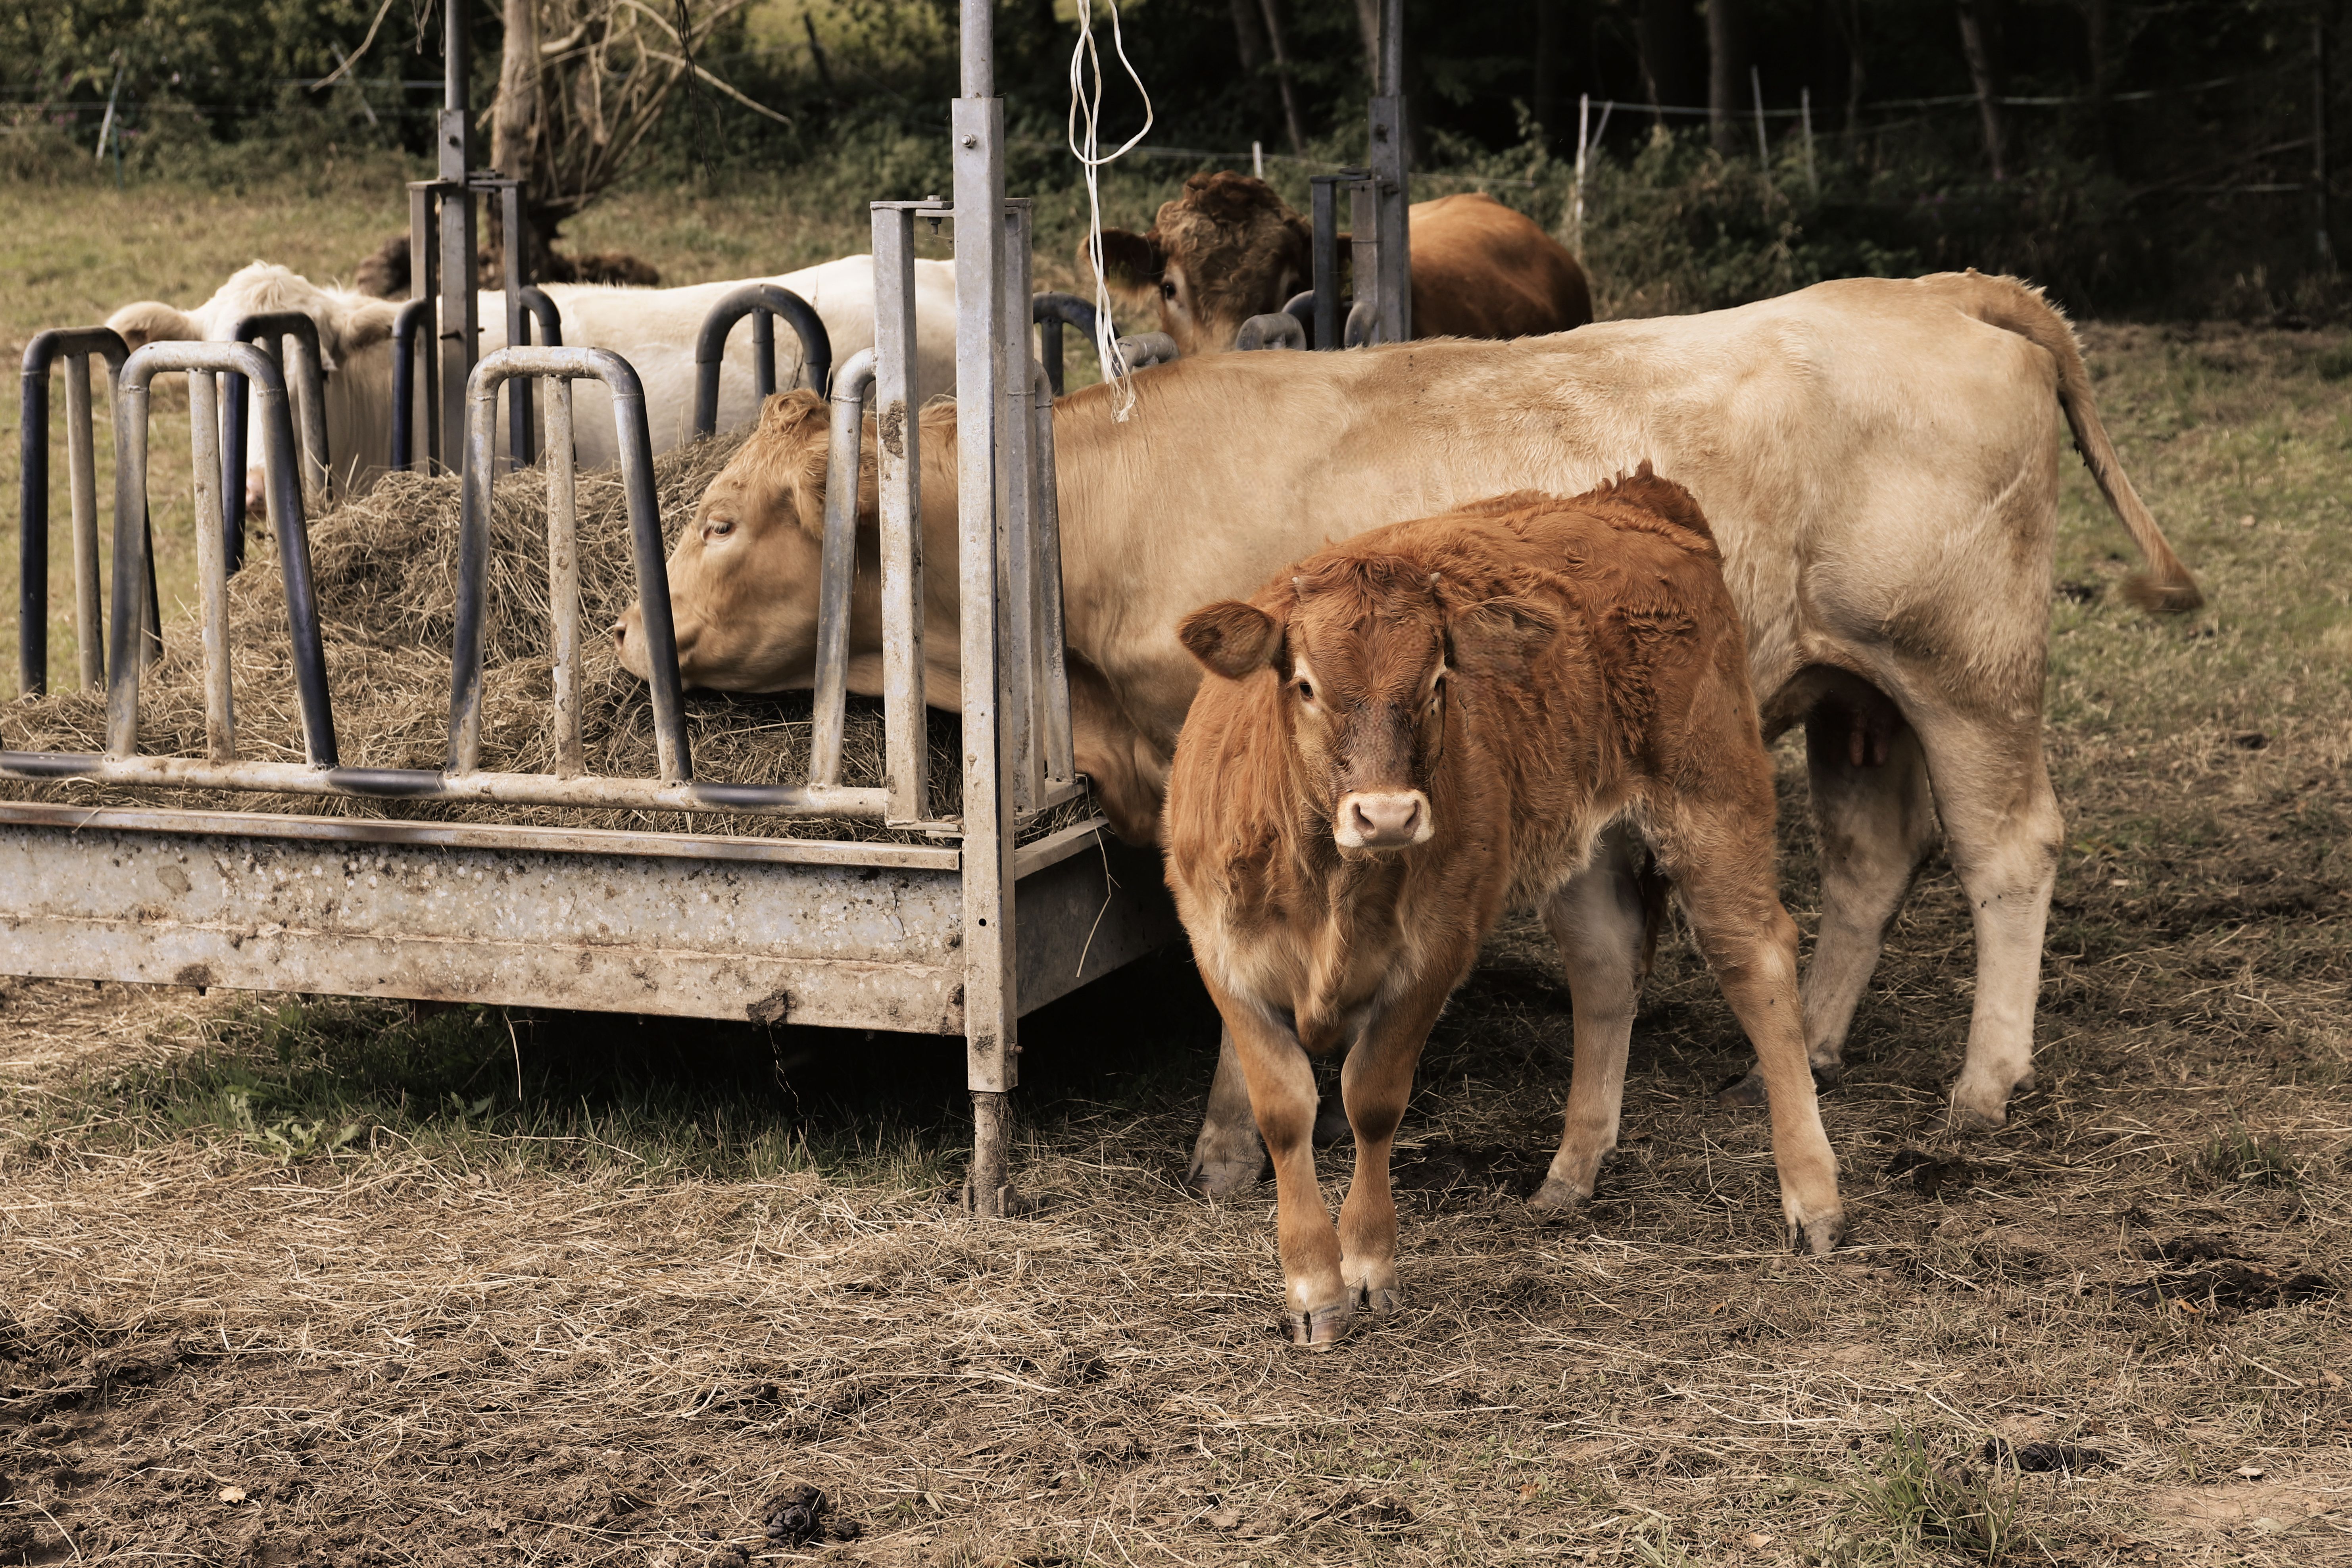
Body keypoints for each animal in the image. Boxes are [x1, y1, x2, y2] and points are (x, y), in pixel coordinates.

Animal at [615, 270, 2200, 1161]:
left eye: (719, 520)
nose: (631, 631)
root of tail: (1940, 288)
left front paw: (1233, 1138)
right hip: (1852, 690)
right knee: (1875, 859)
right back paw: (1809, 1042)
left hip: (1963, 667)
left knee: (2006, 852)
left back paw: (1983, 1084)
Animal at [1164, 478, 1845, 1343]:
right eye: (1307, 684)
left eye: (1436, 682)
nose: (1386, 815)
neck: (1330, 884)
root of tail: (1633, 497)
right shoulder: (1222, 954)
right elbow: (1286, 1112)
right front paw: (1312, 1287)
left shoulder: (1435, 950)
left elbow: (1371, 1099)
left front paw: (1367, 1264)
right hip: (1584, 846)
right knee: (1604, 970)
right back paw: (1569, 1174)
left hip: (1712, 799)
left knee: (1755, 964)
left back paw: (1813, 1198)